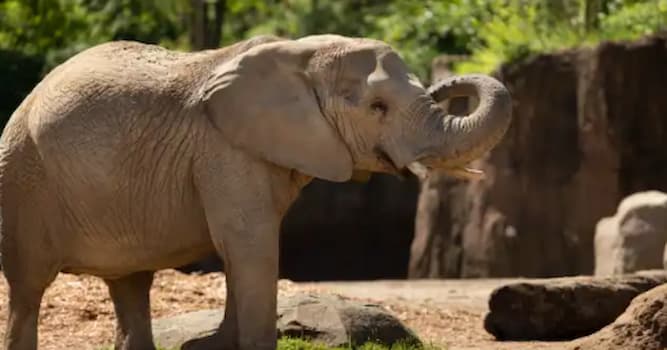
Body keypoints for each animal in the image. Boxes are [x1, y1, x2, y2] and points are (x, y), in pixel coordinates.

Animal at [0, 33, 512, 350]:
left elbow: (244, 251)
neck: (300, 56)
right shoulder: (223, 149)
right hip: (23, 177)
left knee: (130, 283)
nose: (446, 84)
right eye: (378, 107)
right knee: (28, 289)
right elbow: (250, 243)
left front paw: (208, 345)